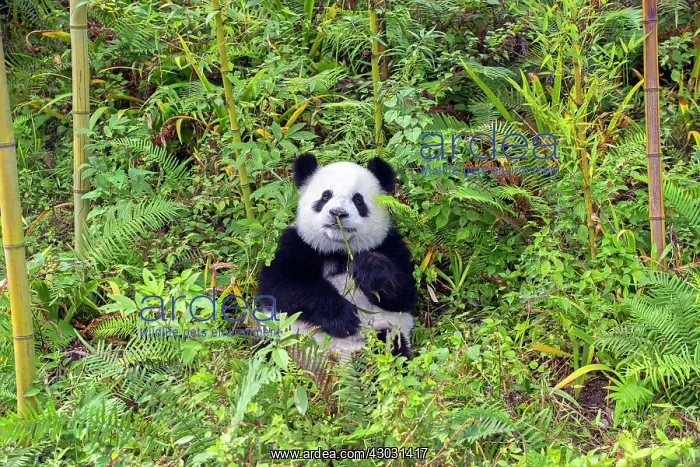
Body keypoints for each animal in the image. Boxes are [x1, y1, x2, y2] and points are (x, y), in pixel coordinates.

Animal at [257, 153, 417, 362]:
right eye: (325, 196)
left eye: (358, 200)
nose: (338, 213)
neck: (338, 250)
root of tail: (341, 355)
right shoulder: (298, 243)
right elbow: (280, 285)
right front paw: (343, 318)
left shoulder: (389, 245)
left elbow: (404, 294)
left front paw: (368, 268)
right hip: (286, 337)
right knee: (266, 351)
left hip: (384, 329)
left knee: (394, 348)